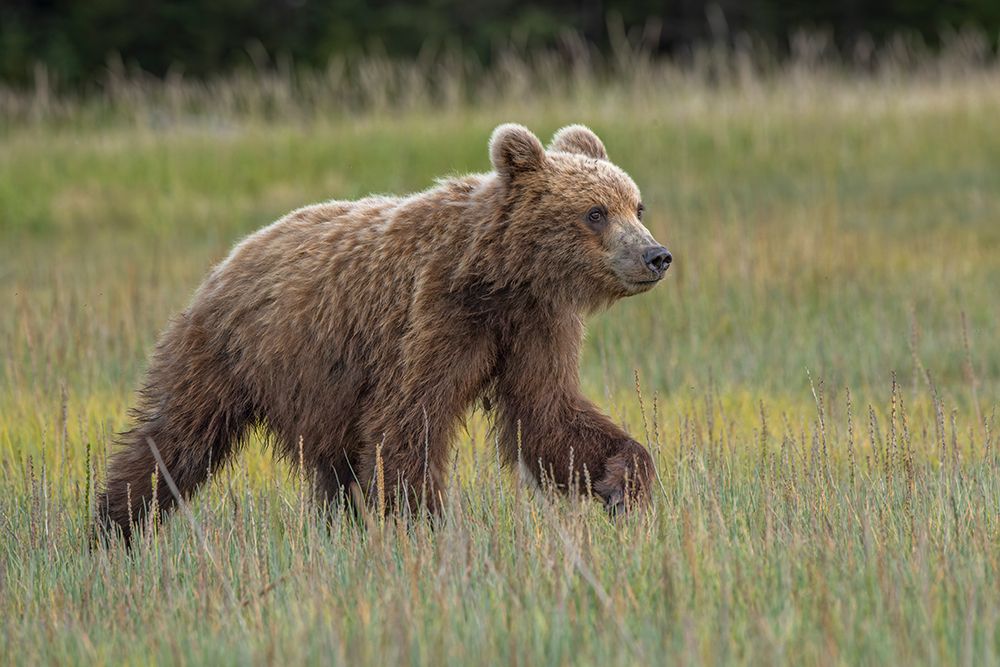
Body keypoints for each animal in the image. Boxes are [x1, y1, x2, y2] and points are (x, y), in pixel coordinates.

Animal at [95, 123, 672, 544]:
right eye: (595, 212)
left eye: (636, 205)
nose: (656, 255)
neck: (502, 278)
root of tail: (233, 255)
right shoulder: (437, 316)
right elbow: (409, 421)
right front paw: (422, 527)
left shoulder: (535, 327)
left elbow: (550, 417)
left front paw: (624, 488)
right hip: (231, 353)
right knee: (175, 440)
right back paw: (113, 526)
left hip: (320, 391)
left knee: (334, 472)